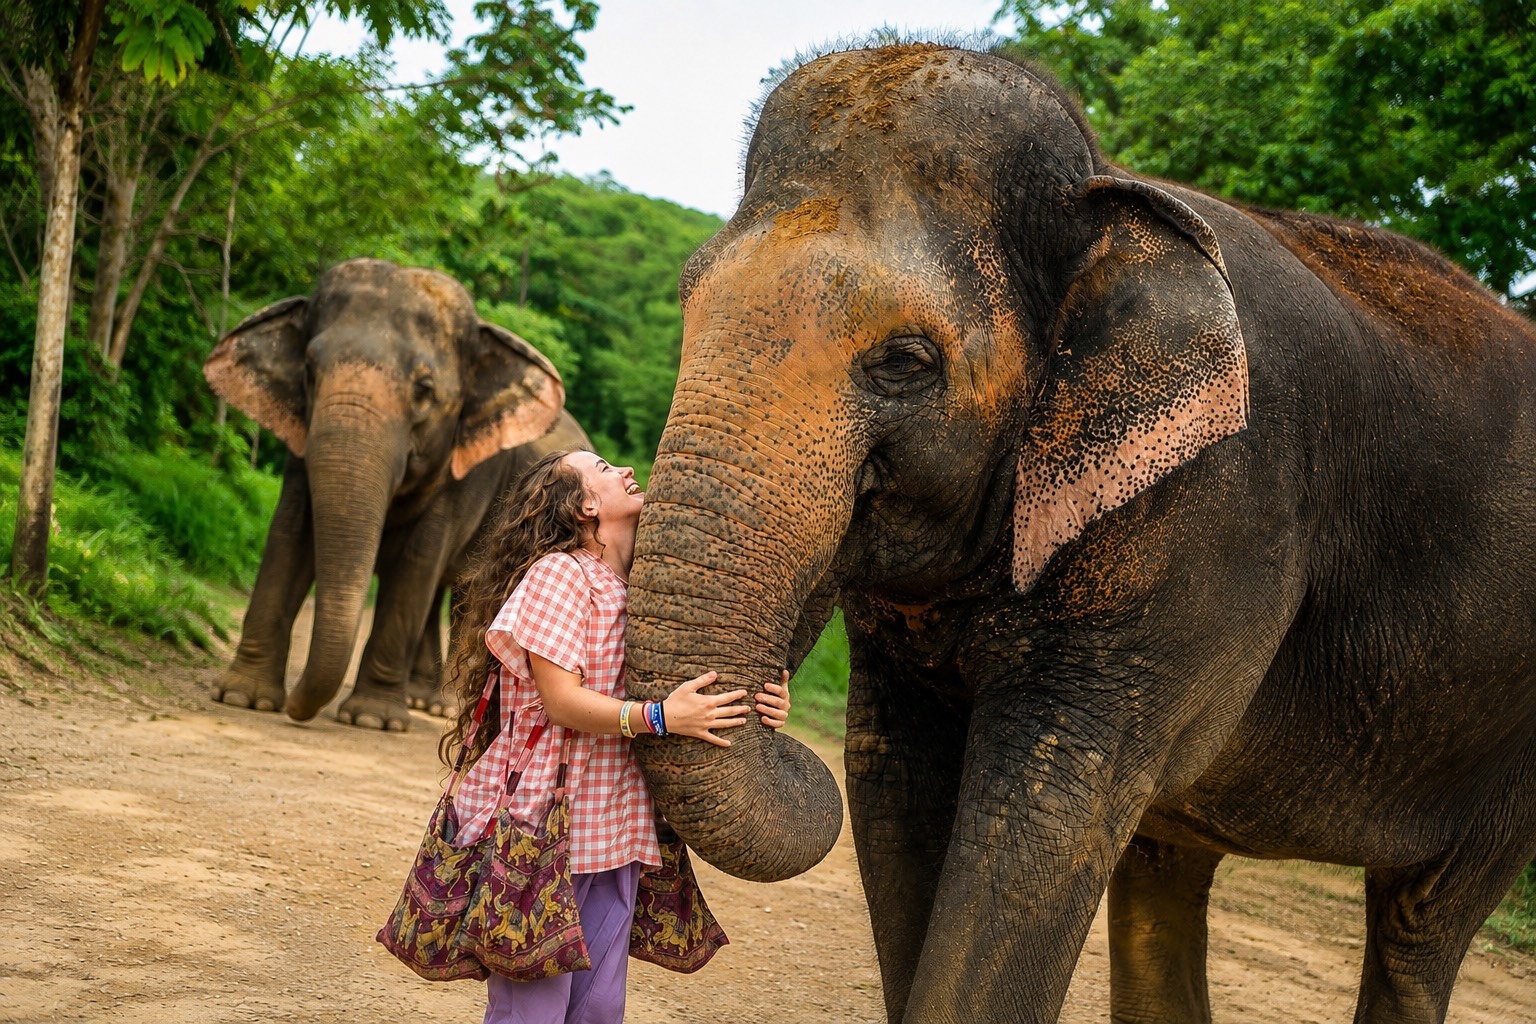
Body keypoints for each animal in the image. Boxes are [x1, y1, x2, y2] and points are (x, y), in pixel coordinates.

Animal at [204, 258, 589, 732]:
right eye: (309, 372)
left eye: (424, 390)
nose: (297, 709)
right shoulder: (300, 448)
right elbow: (288, 536)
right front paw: (243, 697)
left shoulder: (464, 472)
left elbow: (415, 563)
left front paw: (373, 720)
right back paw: (425, 700)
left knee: (453, 590)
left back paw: (439, 707)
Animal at [620, 44, 1536, 1024]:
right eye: (687, 302)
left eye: (905, 363)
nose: (778, 723)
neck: (1101, 191)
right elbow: (891, 781)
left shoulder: (1215, 508)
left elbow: (1044, 813)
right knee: (1167, 869)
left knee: (1420, 922)